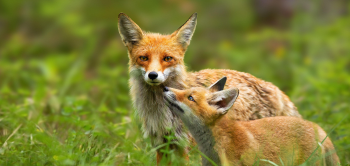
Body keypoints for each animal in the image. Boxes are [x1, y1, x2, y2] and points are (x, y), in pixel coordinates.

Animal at [118, 13, 300, 163]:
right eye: (143, 58)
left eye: (167, 58)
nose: (153, 75)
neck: (162, 112)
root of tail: (275, 89)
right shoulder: (162, 144)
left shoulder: (190, 147)